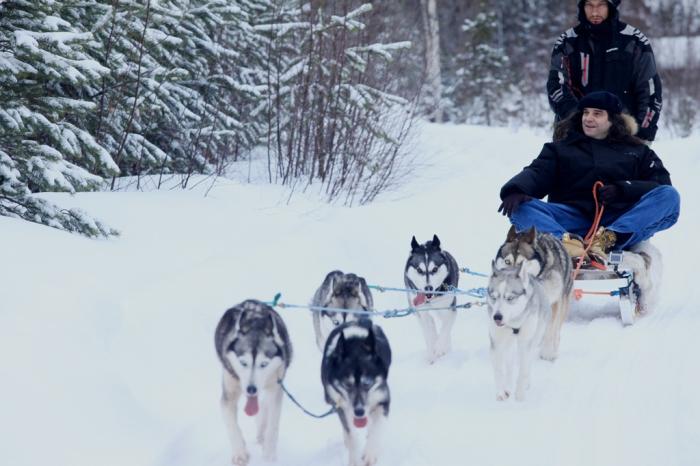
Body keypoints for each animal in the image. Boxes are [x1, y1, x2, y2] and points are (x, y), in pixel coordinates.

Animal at [213, 300, 290, 464]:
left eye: (263, 364)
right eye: (243, 363)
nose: (251, 389)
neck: (255, 323)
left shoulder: (276, 389)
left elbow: (273, 425)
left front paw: (269, 455)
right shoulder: (228, 395)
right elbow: (232, 425)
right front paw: (240, 452)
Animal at [322, 320, 392, 466]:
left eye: (367, 383)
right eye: (347, 384)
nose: (359, 411)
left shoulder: (382, 398)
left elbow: (376, 428)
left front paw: (370, 453)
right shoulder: (341, 404)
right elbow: (351, 434)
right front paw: (354, 458)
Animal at [490, 262, 548, 400]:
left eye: (510, 298)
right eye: (494, 297)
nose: (497, 317)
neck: (513, 324)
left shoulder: (526, 343)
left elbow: (523, 369)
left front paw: (519, 395)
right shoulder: (497, 343)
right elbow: (499, 369)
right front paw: (500, 392)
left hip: (535, 338)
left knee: (528, 362)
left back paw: (525, 383)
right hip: (509, 344)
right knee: (509, 365)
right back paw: (508, 386)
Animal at [492, 226, 576, 360]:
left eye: (522, 263)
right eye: (507, 262)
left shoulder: (554, 303)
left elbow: (550, 328)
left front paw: (547, 352)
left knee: (556, 329)